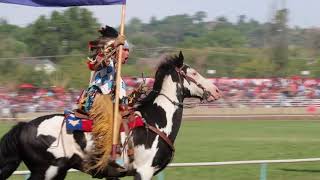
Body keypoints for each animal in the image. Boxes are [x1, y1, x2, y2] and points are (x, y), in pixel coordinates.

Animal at [0, 51, 220, 179]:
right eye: (193, 73)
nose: (216, 90)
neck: (154, 121)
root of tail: (24, 126)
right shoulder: (144, 171)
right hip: (46, 171)